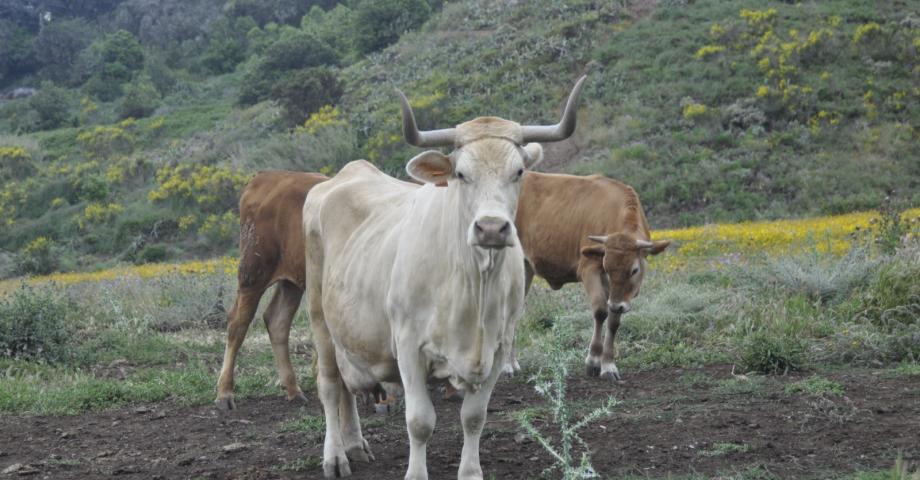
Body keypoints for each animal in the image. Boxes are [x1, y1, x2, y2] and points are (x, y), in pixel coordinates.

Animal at [214, 171, 328, 410]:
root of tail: (266, 176)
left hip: (292, 280)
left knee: (277, 320)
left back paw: (294, 390)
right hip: (253, 272)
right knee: (238, 323)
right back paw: (224, 393)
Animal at [306, 77, 584, 478]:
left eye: (518, 172)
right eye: (462, 174)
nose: (491, 228)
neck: (473, 286)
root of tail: (346, 175)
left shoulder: (498, 349)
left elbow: (474, 417)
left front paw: (470, 471)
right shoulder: (408, 345)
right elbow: (419, 421)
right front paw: (416, 473)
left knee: (346, 388)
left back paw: (356, 445)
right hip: (319, 317)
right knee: (329, 385)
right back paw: (335, 456)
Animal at [516, 171, 668, 380]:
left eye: (634, 270)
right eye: (606, 266)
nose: (617, 305)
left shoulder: (617, 294)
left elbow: (613, 320)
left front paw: (608, 364)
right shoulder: (589, 269)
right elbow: (601, 311)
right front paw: (593, 360)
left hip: (525, 268)